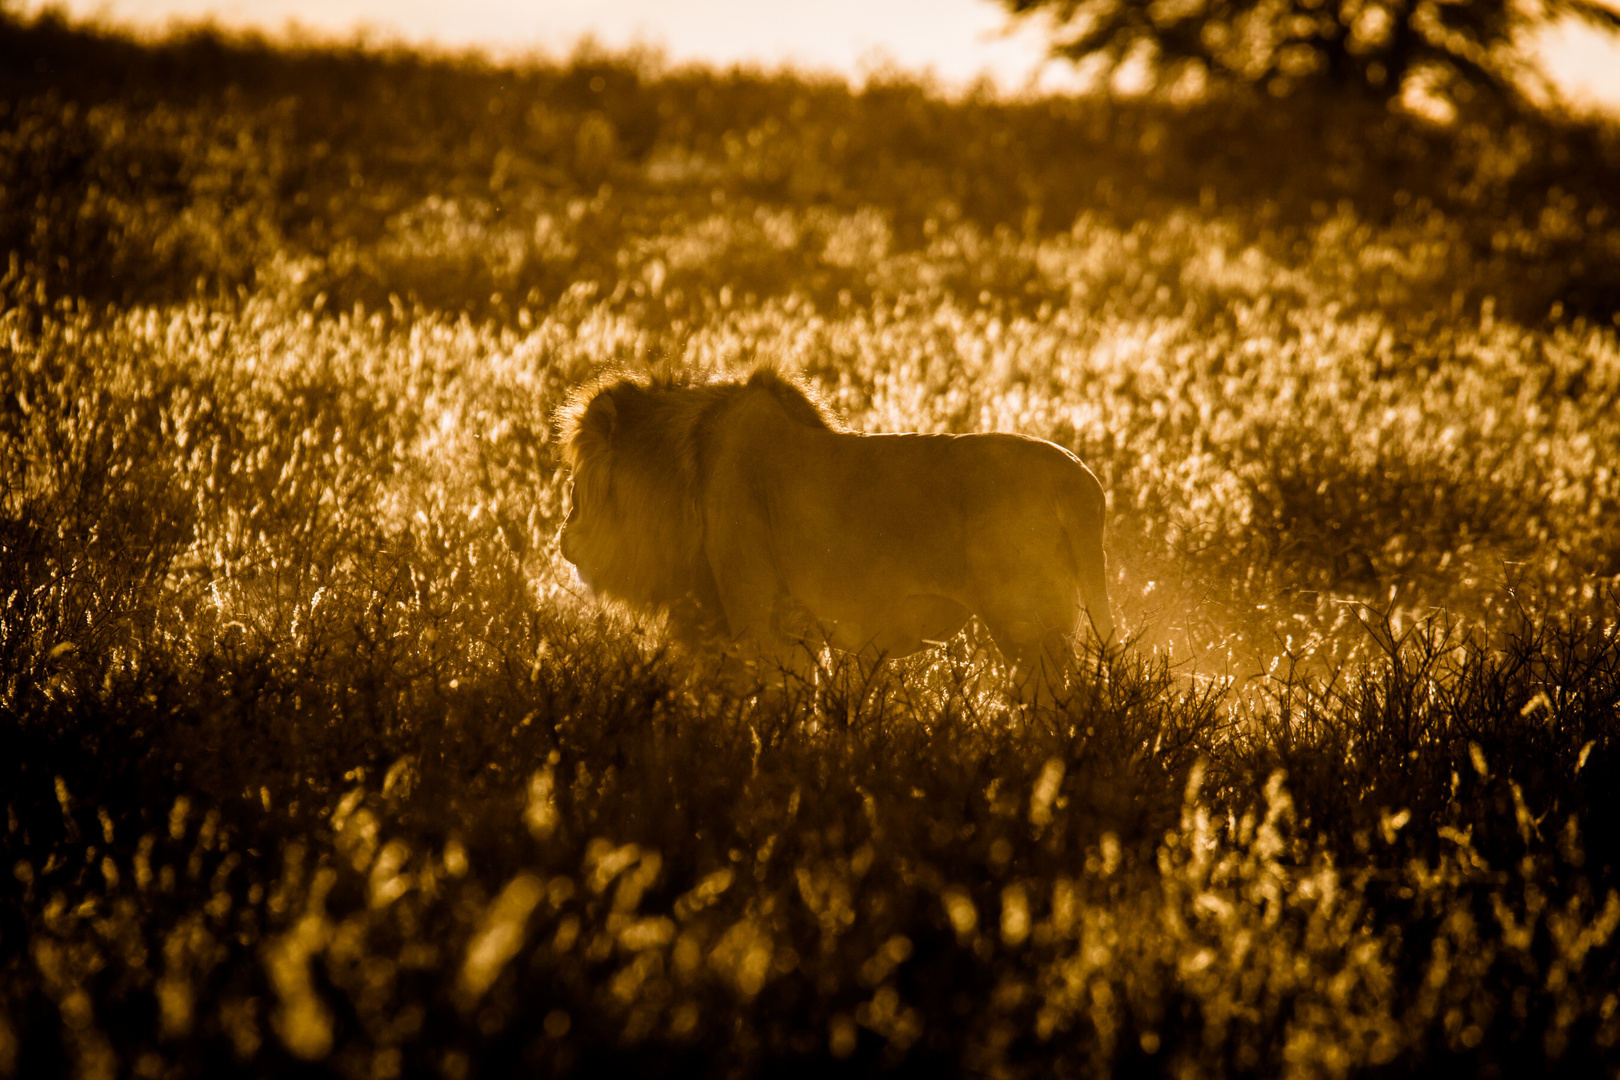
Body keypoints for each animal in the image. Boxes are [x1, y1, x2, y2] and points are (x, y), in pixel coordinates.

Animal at [560, 367, 1114, 705]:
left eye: (575, 481)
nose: (564, 535)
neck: (682, 473)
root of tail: (1081, 480)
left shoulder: (755, 617)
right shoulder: (794, 628)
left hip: (1027, 626)